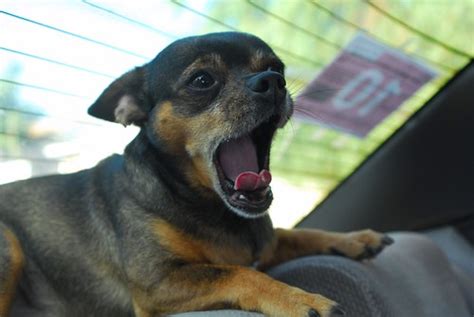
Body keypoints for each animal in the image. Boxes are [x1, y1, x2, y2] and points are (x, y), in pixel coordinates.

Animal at [0, 32, 392, 316]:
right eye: (202, 80)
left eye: (276, 68)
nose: (272, 81)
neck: (208, 204)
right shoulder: (159, 283)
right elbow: (239, 272)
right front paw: (300, 299)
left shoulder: (266, 244)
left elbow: (294, 234)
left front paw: (354, 239)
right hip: (9, 247)